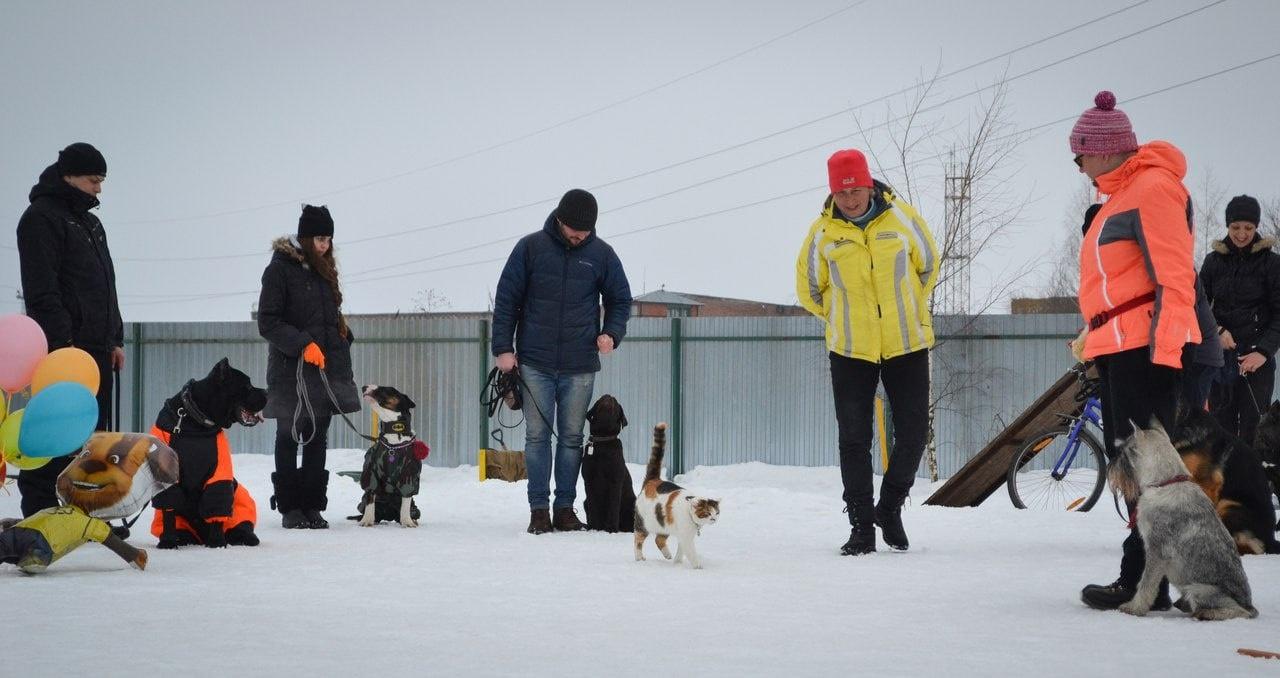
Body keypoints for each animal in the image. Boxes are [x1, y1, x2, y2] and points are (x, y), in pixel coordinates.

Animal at [149, 355, 267, 544]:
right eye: (247, 386)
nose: (267, 393)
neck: (194, 421)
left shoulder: (219, 472)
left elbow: (217, 508)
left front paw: (217, 543)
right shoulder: (165, 473)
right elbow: (168, 512)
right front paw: (168, 542)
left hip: (240, 499)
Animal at [358, 383, 427, 524]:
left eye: (386, 389)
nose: (364, 387)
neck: (395, 431)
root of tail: (388, 516)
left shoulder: (409, 474)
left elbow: (405, 502)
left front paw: (407, 522)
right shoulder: (371, 472)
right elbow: (370, 499)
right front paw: (366, 521)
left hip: (415, 509)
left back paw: (411, 521)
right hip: (362, 503)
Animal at [583, 394, 637, 529]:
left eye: (616, 402)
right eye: (599, 400)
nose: (608, 395)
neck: (603, 439)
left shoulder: (615, 480)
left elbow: (613, 506)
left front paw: (611, 528)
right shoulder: (589, 480)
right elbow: (593, 506)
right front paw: (595, 527)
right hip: (584, 502)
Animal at [632, 422, 721, 565]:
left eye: (717, 513)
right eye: (707, 513)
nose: (713, 519)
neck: (689, 512)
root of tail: (653, 480)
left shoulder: (683, 536)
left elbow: (681, 551)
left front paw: (677, 563)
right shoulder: (686, 537)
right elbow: (691, 553)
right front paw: (698, 566)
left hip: (662, 525)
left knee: (658, 539)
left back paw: (668, 555)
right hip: (643, 524)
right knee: (638, 540)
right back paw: (639, 558)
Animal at [1111, 424, 1259, 619]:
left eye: (1122, 452)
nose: (1109, 468)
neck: (1165, 482)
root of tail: (1249, 604)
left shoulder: (1157, 551)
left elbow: (1146, 584)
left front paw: (1134, 608)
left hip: (1198, 589)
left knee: (1239, 612)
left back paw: (1207, 613)